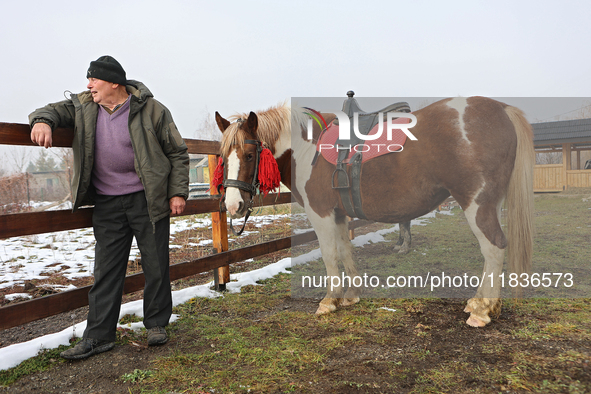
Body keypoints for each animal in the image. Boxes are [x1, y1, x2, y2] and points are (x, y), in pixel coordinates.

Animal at [214, 97, 536, 328]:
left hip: (477, 204)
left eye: (250, 155)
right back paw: (480, 303)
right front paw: (351, 296)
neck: (308, 150)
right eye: (222, 157)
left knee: (493, 248)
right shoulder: (339, 215)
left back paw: (482, 311)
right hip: (490, 204)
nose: (232, 205)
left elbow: (330, 255)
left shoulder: (321, 215)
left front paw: (329, 301)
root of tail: (502, 109)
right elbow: (345, 250)